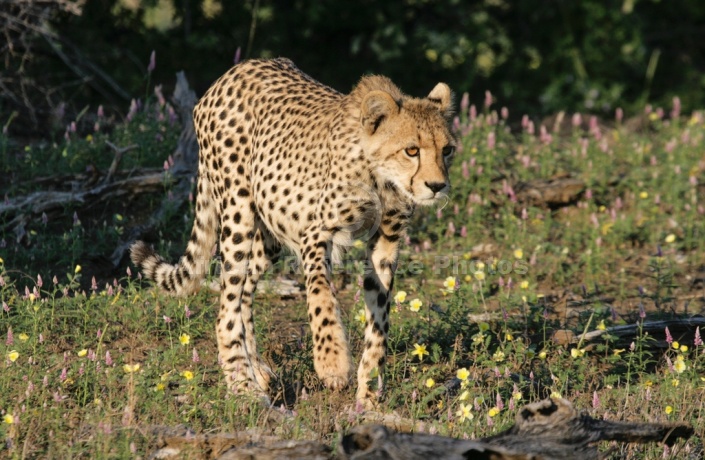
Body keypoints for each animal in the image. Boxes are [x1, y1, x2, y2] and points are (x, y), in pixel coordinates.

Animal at [129, 58, 454, 406]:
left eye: (447, 150)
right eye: (411, 151)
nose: (437, 186)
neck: (380, 178)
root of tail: (233, 72)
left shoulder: (386, 240)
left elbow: (379, 315)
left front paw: (369, 393)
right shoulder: (316, 232)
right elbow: (321, 296)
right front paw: (332, 363)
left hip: (269, 236)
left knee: (244, 295)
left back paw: (257, 370)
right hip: (238, 213)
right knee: (226, 305)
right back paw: (242, 384)